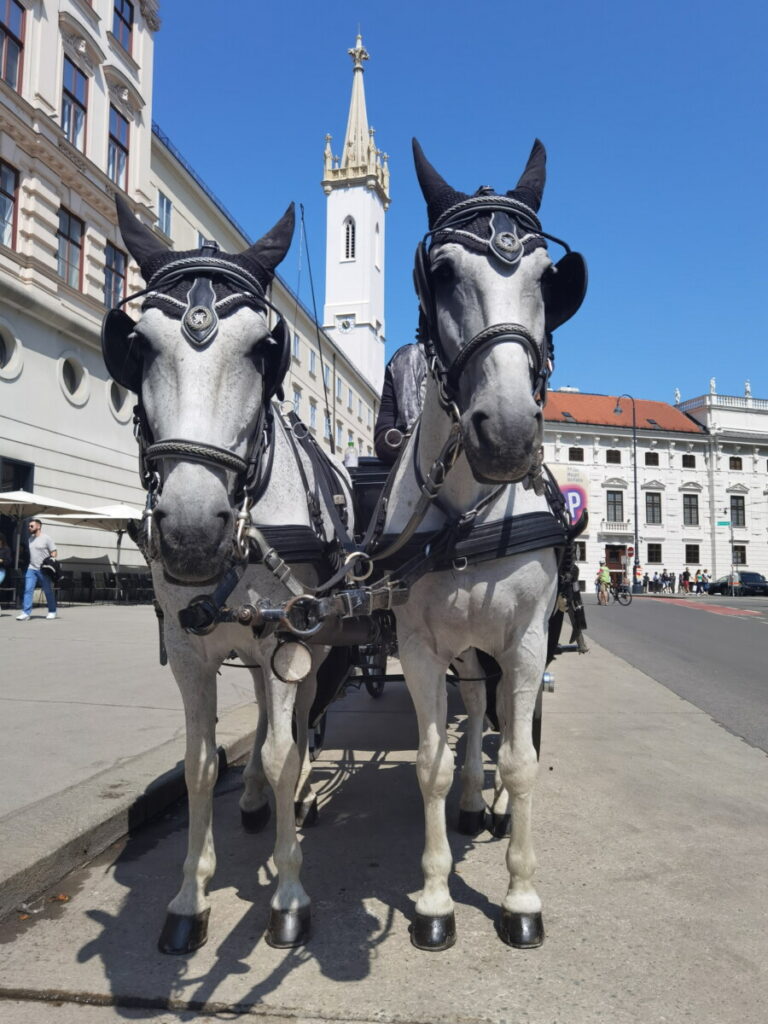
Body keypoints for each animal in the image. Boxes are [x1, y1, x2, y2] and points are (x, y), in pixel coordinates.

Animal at [102, 197, 354, 950]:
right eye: (138, 346)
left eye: (262, 350)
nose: (190, 531)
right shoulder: (189, 652)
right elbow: (201, 765)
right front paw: (190, 896)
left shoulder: (287, 642)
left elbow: (279, 752)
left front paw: (290, 891)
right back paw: (253, 804)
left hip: (314, 645)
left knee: (297, 726)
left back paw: (292, 800)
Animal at [382, 138, 589, 950]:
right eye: (441, 274)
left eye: (547, 279)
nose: (504, 432)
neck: (471, 508)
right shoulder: (418, 645)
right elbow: (431, 763)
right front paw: (436, 899)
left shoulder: (527, 639)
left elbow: (524, 758)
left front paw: (521, 897)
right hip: (465, 648)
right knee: (475, 708)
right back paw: (474, 800)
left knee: (505, 717)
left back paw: (495, 808)